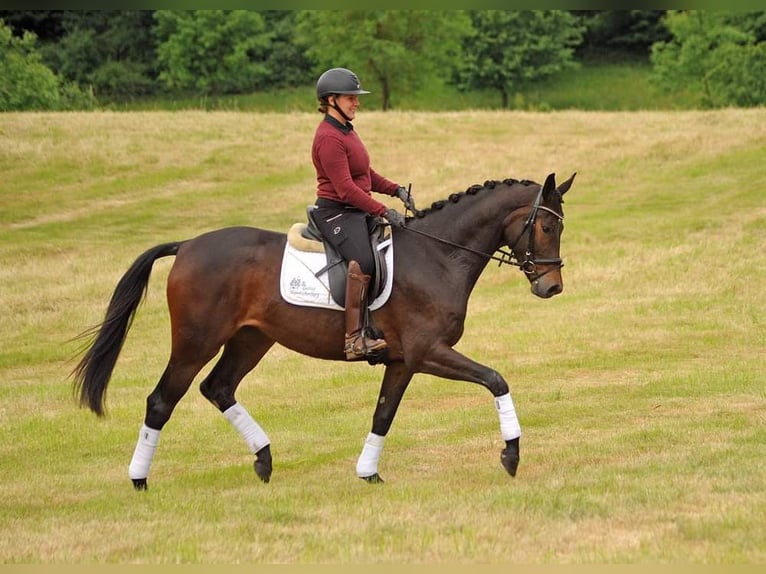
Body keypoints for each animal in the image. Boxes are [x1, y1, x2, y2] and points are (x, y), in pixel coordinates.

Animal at [72, 172, 576, 490]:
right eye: (545, 226)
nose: (551, 286)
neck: (438, 255)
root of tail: (189, 245)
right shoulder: (427, 351)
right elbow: (496, 379)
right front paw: (511, 455)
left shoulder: (402, 361)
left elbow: (383, 415)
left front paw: (368, 473)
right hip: (196, 341)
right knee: (162, 400)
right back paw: (139, 479)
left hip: (251, 339)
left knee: (218, 388)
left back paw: (264, 459)